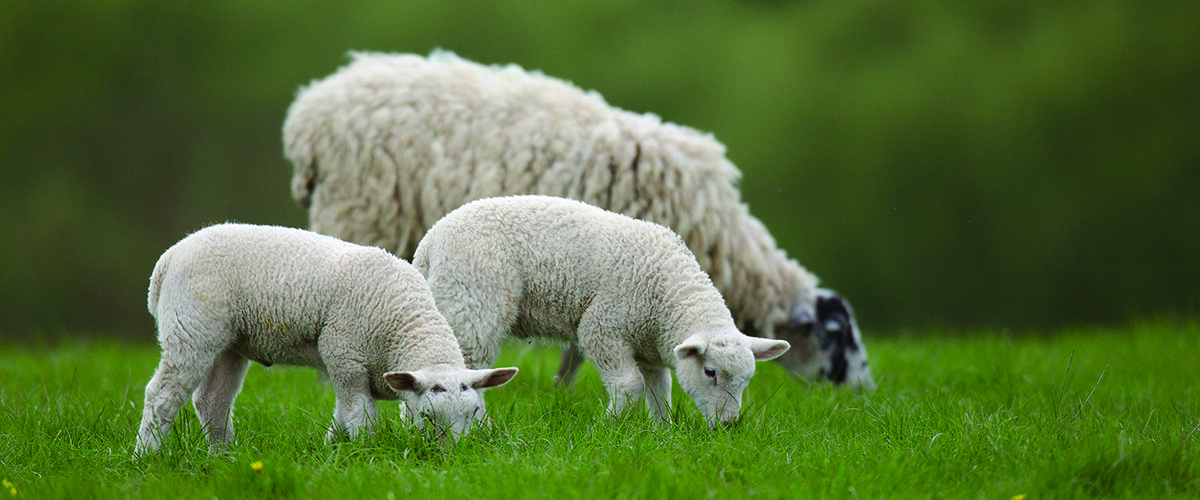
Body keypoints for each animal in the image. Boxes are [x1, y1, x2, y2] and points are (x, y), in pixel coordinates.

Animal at [134, 223, 518, 455]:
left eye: (474, 412)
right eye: (427, 417)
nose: (455, 456)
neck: (403, 322)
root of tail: (170, 256)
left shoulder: (349, 365)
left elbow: (342, 417)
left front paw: (334, 449)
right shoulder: (344, 355)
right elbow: (361, 416)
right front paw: (365, 452)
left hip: (231, 342)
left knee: (211, 400)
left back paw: (223, 456)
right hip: (192, 327)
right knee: (162, 395)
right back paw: (146, 454)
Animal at [282, 50, 873, 390]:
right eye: (835, 335)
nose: (867, 396)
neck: (727, 245)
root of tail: (310, 111)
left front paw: (562, 391)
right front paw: (568, 389)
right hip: (360, 210)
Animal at [412, 195, 791, 428]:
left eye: (747, 380)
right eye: (710, 372)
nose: (728, 425)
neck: (667, 293)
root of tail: (429, 241)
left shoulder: (650, 348)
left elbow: (660, 390)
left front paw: (662, 432)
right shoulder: (604, 328)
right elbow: (629, 385)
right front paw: (607, 427)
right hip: (472, 305)